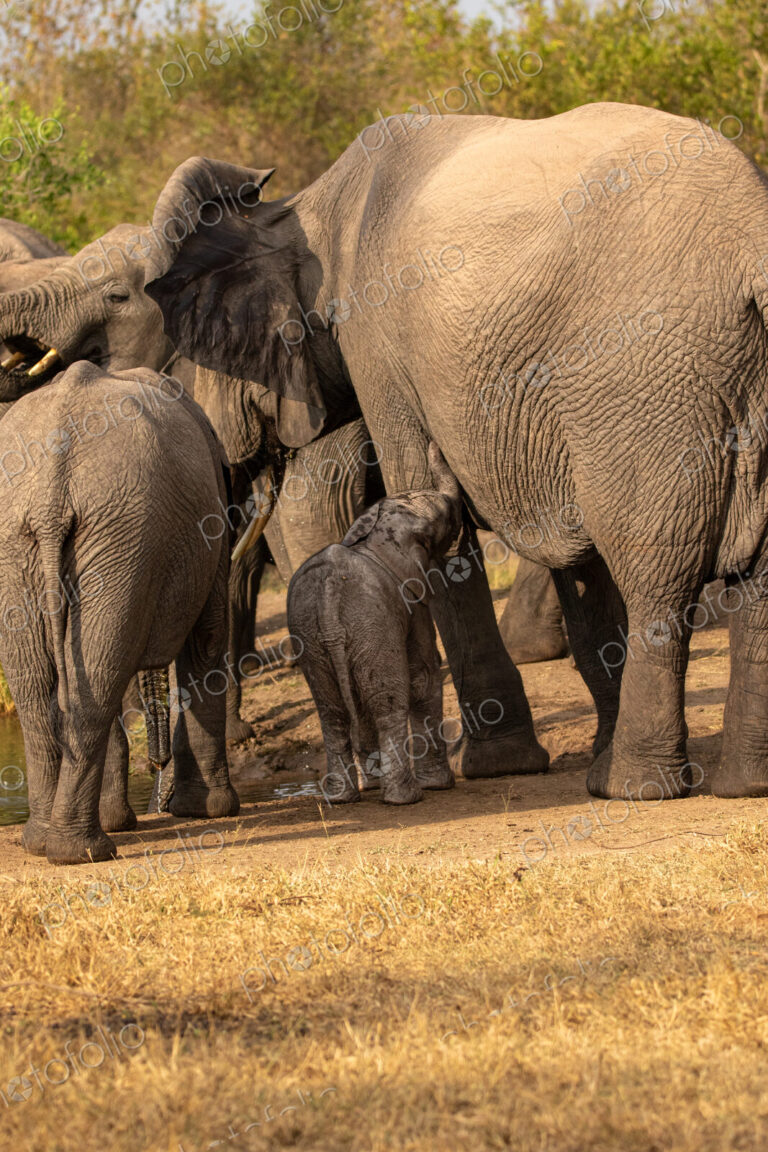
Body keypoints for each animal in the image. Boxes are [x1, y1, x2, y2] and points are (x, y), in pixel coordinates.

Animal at [0, 361, 239, 864]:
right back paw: (80, 851)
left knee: (46, 690)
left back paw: (45, 843)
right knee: (91, 680)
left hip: (49, 539)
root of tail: (50, 493)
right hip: (109, 532)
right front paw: (209, 811)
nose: (157, 766)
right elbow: (208, 638)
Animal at [288, 442, 462, 806]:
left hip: (311, 635)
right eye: (441, 522)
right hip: (370, 623)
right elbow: (424, 673)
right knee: (387, 702)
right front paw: (440, 785)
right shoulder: (410, 596)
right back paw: (405, 797)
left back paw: (343, 797)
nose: (433, 445)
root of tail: (328, 593)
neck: (370, 532)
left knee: (332, 710)